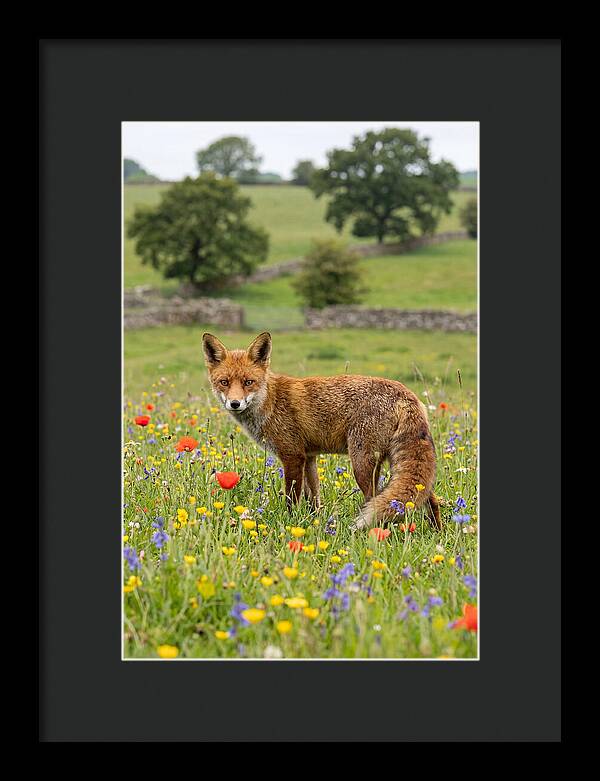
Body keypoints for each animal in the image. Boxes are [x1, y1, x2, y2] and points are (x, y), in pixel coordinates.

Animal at [202, 331, 442, 531]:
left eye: (248, 382)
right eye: (224, 382)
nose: (235, 403)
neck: (270, 401)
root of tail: (406, 393)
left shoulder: (292, 456)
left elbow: (292, 498)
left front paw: (289, 523)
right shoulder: (309, 457)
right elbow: (313, 498)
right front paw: (314, 522)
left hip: (362, 463)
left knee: (375, 499)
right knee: (429, 498)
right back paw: (436, 532)